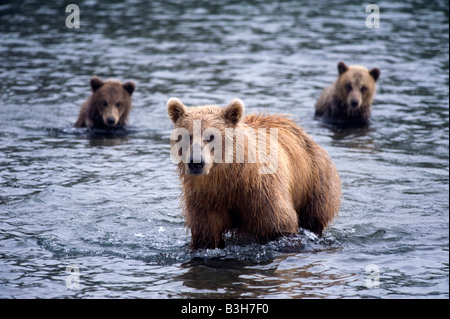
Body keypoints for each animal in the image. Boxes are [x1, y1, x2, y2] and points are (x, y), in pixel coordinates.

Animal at [168, 97, 342, 250]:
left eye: (211, 136)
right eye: (187, 135)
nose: (196, 162)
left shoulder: (262, 193)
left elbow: (279, 224)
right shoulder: (205, 200)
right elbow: (206, 233)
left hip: (315, 180)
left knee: (314, 217)